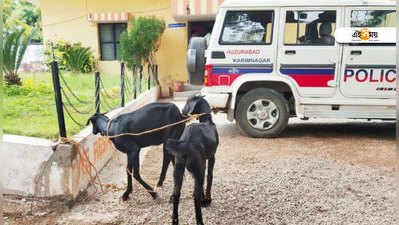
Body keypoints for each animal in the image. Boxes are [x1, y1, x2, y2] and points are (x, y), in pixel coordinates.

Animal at [165, 95, 219, 225]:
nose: (182, 111)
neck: (207, 121)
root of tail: (186, 143)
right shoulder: (211, 157)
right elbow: (209, 177)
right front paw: (207, 199)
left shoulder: (202, 165)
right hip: (197, 167)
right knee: (195, 197)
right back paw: (200, 221)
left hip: (178, 169)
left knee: (176, 195)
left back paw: (175, 220)